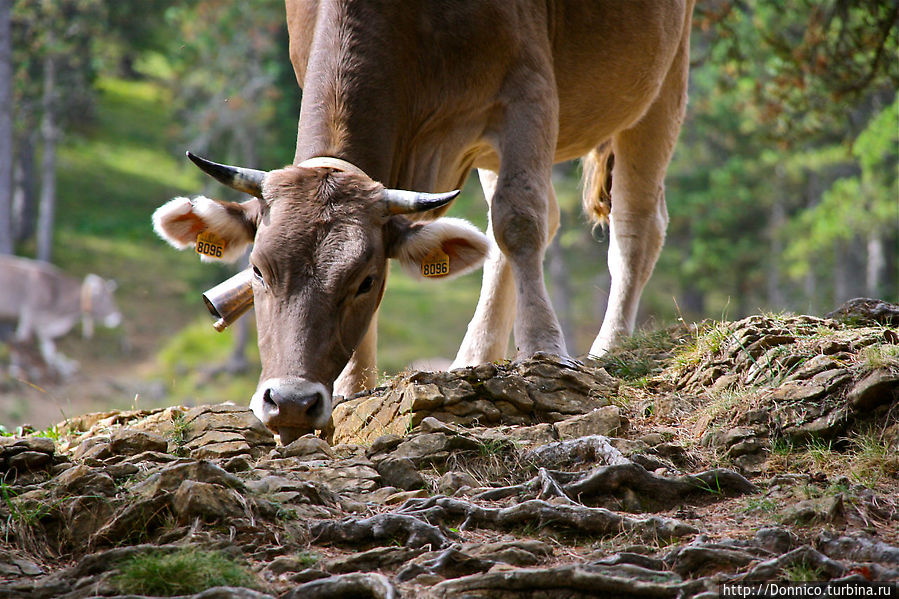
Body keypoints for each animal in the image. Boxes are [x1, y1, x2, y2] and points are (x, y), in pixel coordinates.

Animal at [156, 0, 696, 440]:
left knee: (634, 223)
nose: (290, 402)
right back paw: (476, 356)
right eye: (257, 270)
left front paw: (545, 348)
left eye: (365, 281)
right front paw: (355, 384)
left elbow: (521, 220)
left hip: (662, 76)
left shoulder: (529, 91)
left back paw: (610, 345)